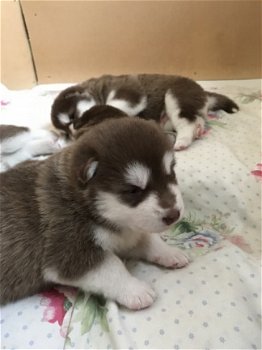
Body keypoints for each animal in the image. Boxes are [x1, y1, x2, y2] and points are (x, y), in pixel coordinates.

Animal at [0, 115, 189, 308]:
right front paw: (135, 290)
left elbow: (147, 238)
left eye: (171, 174)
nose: (174, 215)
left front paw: (169, 252)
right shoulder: (68, 251)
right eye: (133, 190)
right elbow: (112, 267)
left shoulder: (127, 234)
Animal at [50, 73, 238, 150]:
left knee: (187, 122)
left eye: (72, 117)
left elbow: (113, 106)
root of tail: (203, 92)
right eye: (65, 133)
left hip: (175, 96)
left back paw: (182, 141)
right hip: (171, 117)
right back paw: (198, 131)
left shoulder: (129, 93)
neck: (96, 91)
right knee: (196, 119)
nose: (74, 130)